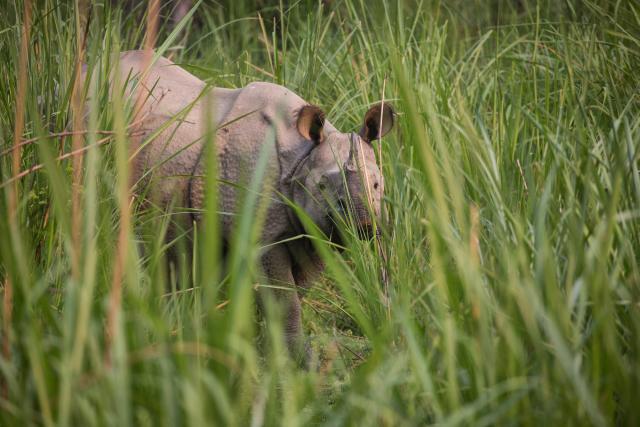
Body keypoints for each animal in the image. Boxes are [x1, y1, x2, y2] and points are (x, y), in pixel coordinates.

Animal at [94, 50, 394, 361]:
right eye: (322, 187)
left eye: (377, 185)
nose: (364, 225)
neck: (301, 160)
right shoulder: (262, 236)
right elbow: (285, 299)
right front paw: (295, 359)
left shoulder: (314, 231)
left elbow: (294, 295)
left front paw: (280, 352)